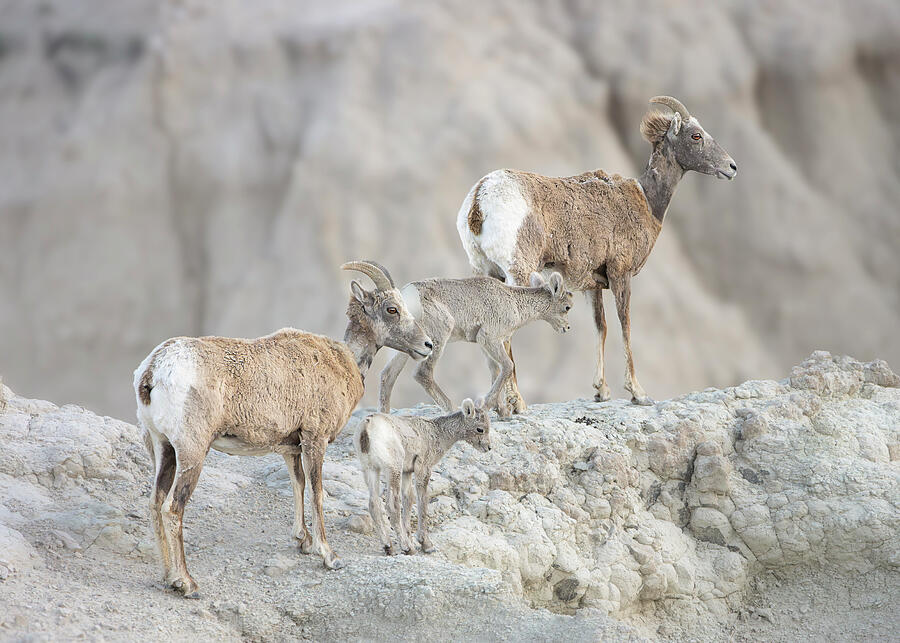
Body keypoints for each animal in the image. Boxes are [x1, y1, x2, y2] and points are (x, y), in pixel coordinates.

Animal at [133, 260, 433, 597]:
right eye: (392, 309)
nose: (427, 345)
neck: (343, 361)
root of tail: (153, 370)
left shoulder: (291, 448)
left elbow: (298, 485)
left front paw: (303, 542)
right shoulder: (315, 440)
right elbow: (316, 492)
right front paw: (329, 556)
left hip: (162, 448)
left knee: (155, 503)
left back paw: (167, 577)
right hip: (192, 452)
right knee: (173, 508)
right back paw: (187, 583)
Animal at [355, 398, 491, 555]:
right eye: (480, 429)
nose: (488, 448)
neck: (438, 434)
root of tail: (366, 428)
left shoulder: (407, 472)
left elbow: (408, 500)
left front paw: (411, 539)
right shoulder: (423, 468)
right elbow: (422, 502)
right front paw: (426, 544)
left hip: (370, 469)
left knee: (374, 504)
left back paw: (389, 546)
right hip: (392, 468)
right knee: (392, 505)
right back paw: (406, 548)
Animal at [378, 271, 573, 418]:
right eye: (567, 307)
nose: (567, 328)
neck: (515, 305)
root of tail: (407, 297)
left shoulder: (485, 346)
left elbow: (495, 371)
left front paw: (502, 412)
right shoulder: (489, 338)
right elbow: (508, 366)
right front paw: (487, 406)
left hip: (408, 346)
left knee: (387, 375)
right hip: (438, 336)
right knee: (422, 373)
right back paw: (453, 410)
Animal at [457, 96, 737, 407]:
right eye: (696, 135)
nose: (732, 167)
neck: (646, 200)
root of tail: (479, 199)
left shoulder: (593, 285)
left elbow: (600, 327)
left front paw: (601, 391)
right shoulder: (620, 275)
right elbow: (624, 325)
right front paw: (638, 393)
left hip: (484, 272)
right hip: (517, 272)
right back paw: (517, 404)